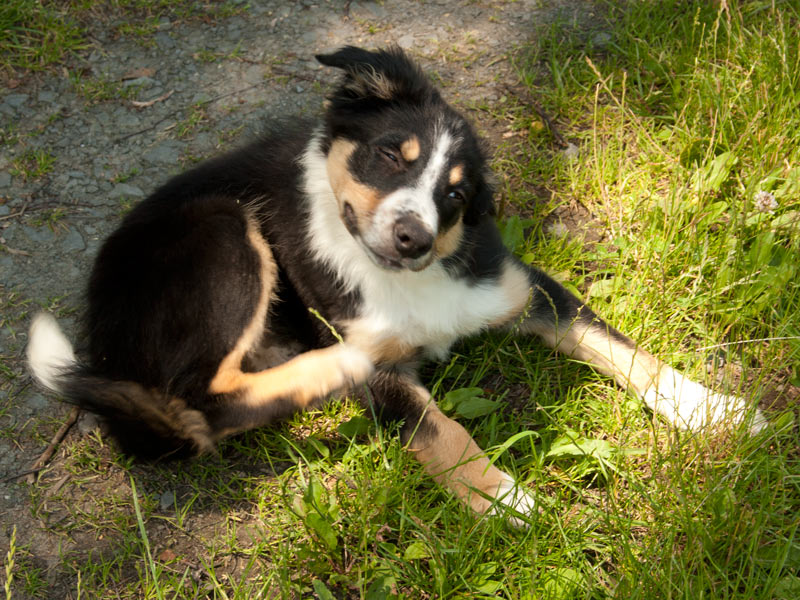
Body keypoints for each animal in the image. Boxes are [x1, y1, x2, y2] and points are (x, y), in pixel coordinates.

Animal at [23, 48, 764, 524]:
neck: (406, 279)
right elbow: (440, 429)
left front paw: (713, 410)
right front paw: (497, 492)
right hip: (223, 228)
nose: (412, 235)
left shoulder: (522, 287)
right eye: (390, 155)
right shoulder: (389, 377)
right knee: (204, 402)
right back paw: (332, 365)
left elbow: (622, 348)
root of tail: (104, 340)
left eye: (455, 194)